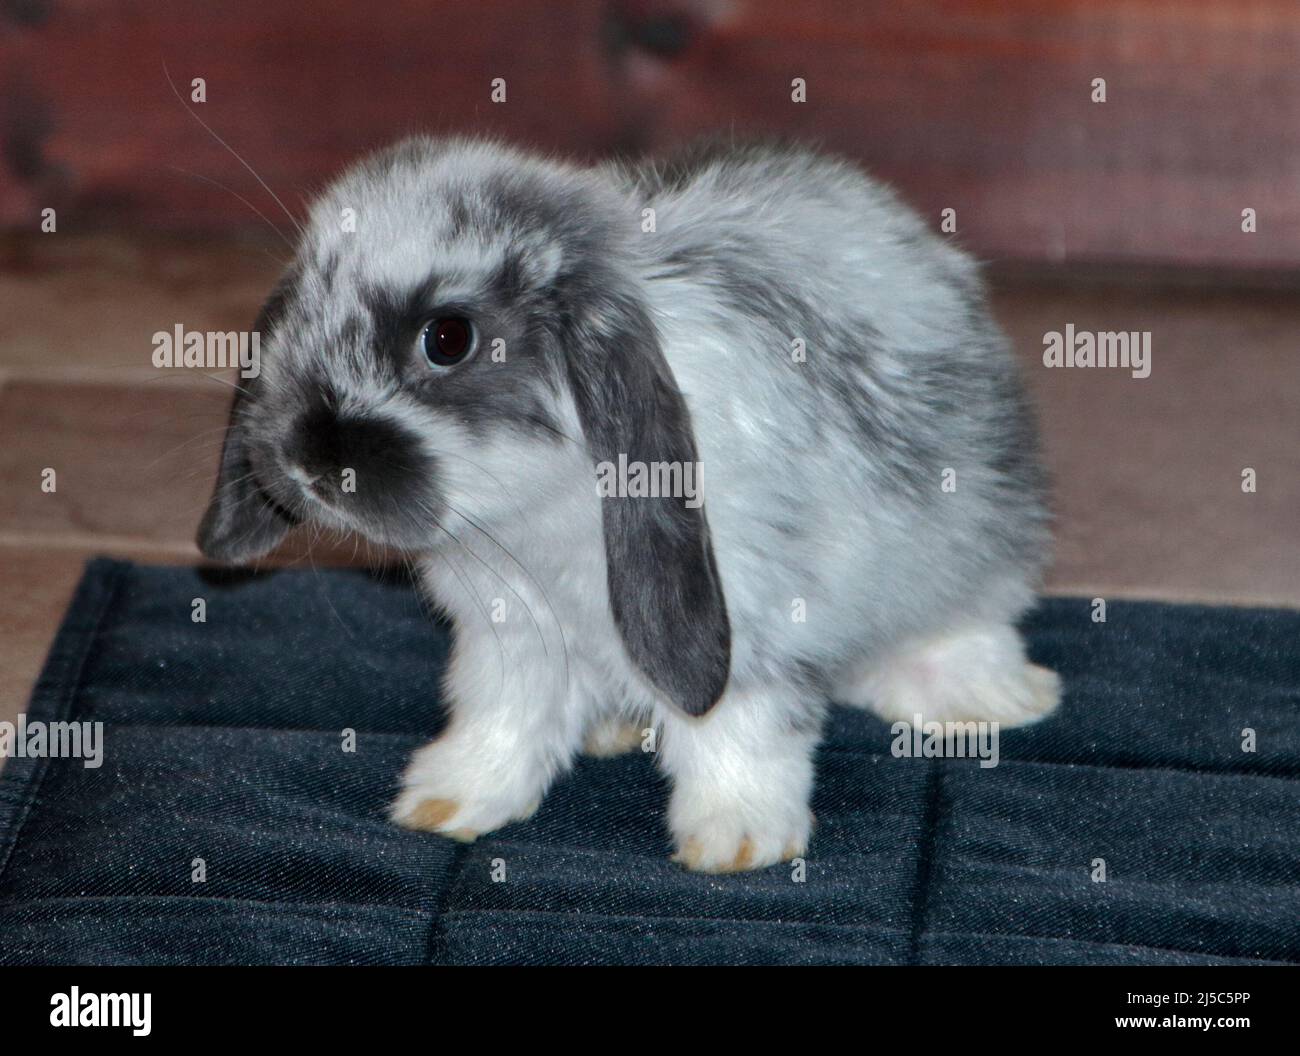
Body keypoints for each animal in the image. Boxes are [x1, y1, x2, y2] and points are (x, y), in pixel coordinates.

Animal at [198, 135, 1059, 873]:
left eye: (447, 338)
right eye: (301, 312)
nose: (308, 463)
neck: (538, 508)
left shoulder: (750, 618)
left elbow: (740, 727)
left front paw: (737, 839)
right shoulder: (511, 638)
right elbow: (503, 716)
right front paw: (451, 801)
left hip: (969, 538)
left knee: (969, 621)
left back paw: (989, 700)